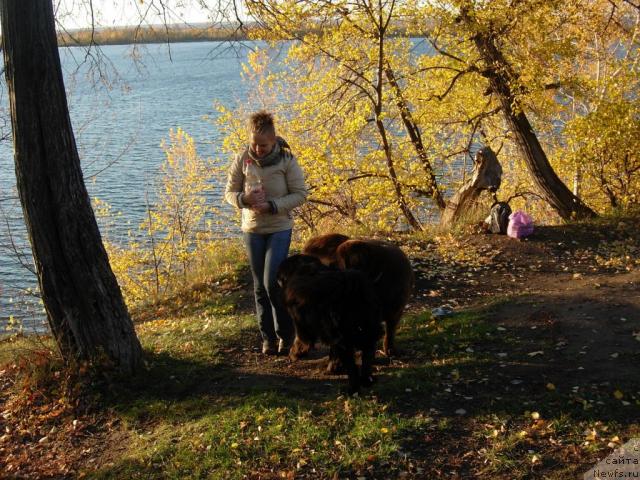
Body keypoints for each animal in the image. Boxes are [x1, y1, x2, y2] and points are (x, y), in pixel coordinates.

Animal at [276, 255, 380, 394]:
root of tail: (350, 286)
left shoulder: (301, 322)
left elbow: (301, 340)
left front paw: (295, 354)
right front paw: (333, 367)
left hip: (343, 333)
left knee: (351, 363)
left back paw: (352, 388)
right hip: (366, 329)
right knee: (367, 353)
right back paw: (366, 380)